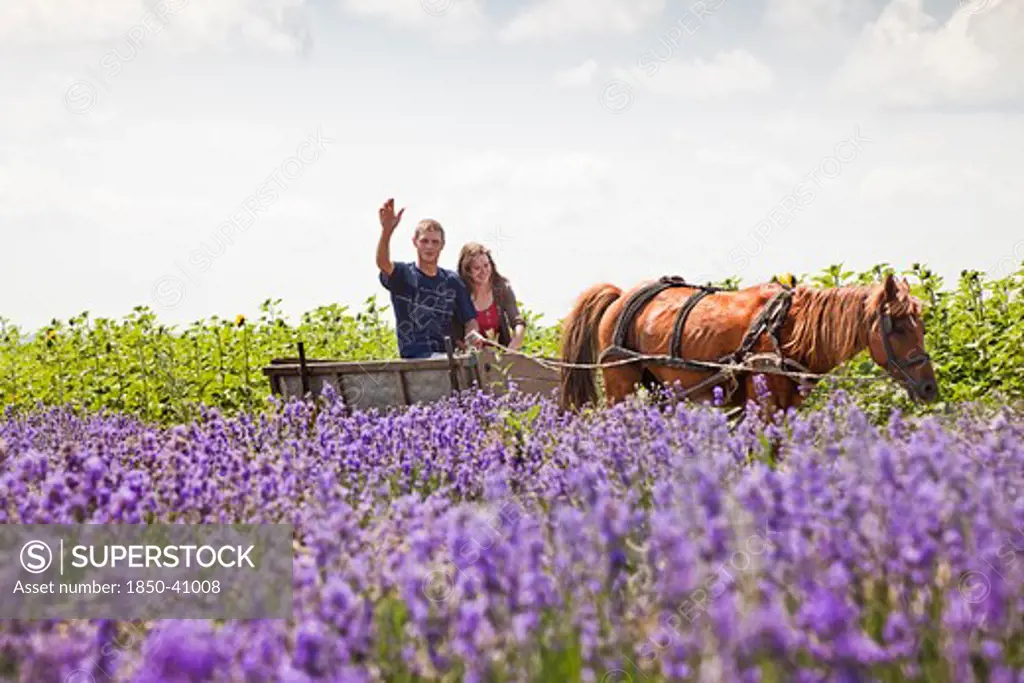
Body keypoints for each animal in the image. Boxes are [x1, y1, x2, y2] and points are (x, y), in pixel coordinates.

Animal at [561, 274, 937, 413]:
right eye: (897, 327)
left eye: (921, 325)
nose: (930, 388)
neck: (784, 330)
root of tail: (622, 294)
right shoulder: (763, 403)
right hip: (620, 383)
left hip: (658, 387)